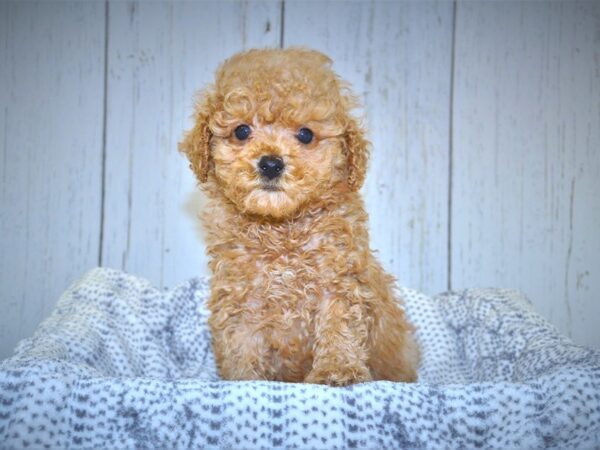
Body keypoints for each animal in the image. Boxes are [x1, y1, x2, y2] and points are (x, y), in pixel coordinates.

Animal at [180, 49, 420, 386]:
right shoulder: (241, 296)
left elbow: (338, 327)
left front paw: (336, 370)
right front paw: (244, 379)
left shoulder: (339, 283)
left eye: (305, 134)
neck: (281, 230)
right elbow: (241, 341)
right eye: (242, 131)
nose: (270, 163)